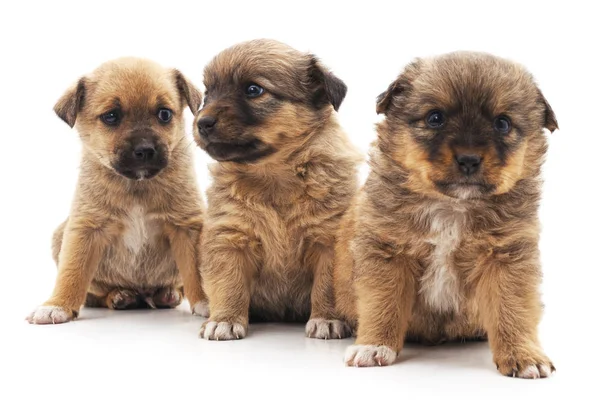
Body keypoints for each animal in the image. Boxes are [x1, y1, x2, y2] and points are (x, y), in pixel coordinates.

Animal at [27, 57, 210, 322]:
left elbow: (197, 271)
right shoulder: (86, 228)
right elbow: (72, 271)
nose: (145, 150)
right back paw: (120, 296)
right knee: (96, 294)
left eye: (164, 114)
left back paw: (166, 294)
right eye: (111, 116)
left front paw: (207, 301)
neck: (137, 186)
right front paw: (57, 305)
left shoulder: (187, 226)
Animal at [193, 40, 360, 340]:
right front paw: (224, 319)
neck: (273, 178)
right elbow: (228, 284)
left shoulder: (328, 240)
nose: (202, 123)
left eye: (253, 90)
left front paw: (328, 319)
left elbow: (327, 287)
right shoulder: (229, 238)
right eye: (208, 93)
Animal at [332, 53, 556, 378]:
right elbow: (383, 303)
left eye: (503, 123)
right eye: (435, 118)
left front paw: (523, 355)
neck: (452, 207)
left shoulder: (506, 258)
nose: (469, 159)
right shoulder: (387, 254)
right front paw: (374, 346)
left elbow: (512, 309)